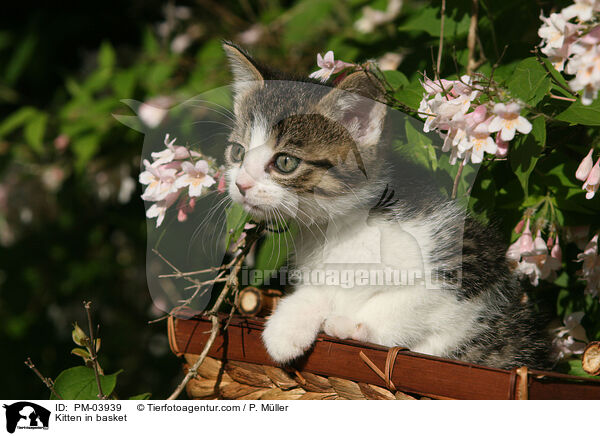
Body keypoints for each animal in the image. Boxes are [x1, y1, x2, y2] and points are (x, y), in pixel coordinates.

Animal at [223, 41, 552, 370]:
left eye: (285, 162)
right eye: (237, 152)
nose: (241, 184)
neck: (344, 229)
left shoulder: (469, 266)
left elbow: (410, 302)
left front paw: (352, 324)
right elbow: (319, 290)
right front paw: (286, 325)